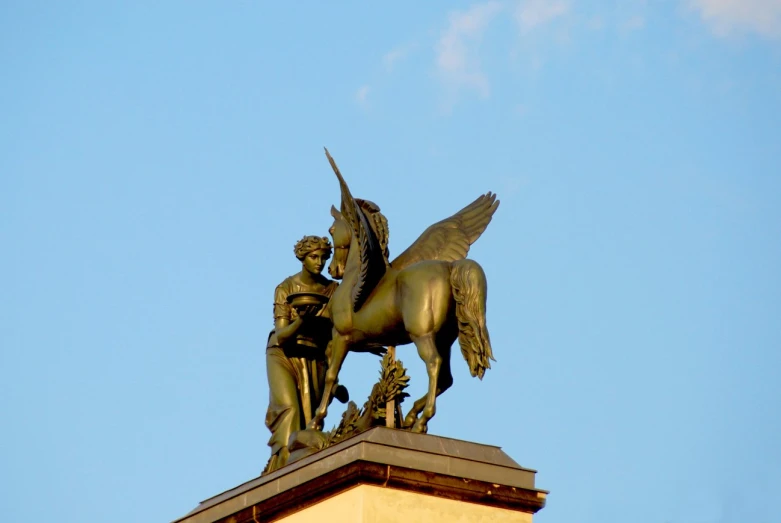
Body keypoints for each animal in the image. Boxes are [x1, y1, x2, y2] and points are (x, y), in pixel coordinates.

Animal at [308, 150, 496, 434]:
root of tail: (449, 267)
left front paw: (316, 420)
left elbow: (331, 373)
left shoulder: (342, 335)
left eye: (331, 230)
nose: (333, 269)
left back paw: (421, 420)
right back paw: (410, 417)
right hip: (444, 337)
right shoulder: (350, 338)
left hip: (422, 334)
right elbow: (330, 361)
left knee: (434, 365)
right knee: (446, 378)